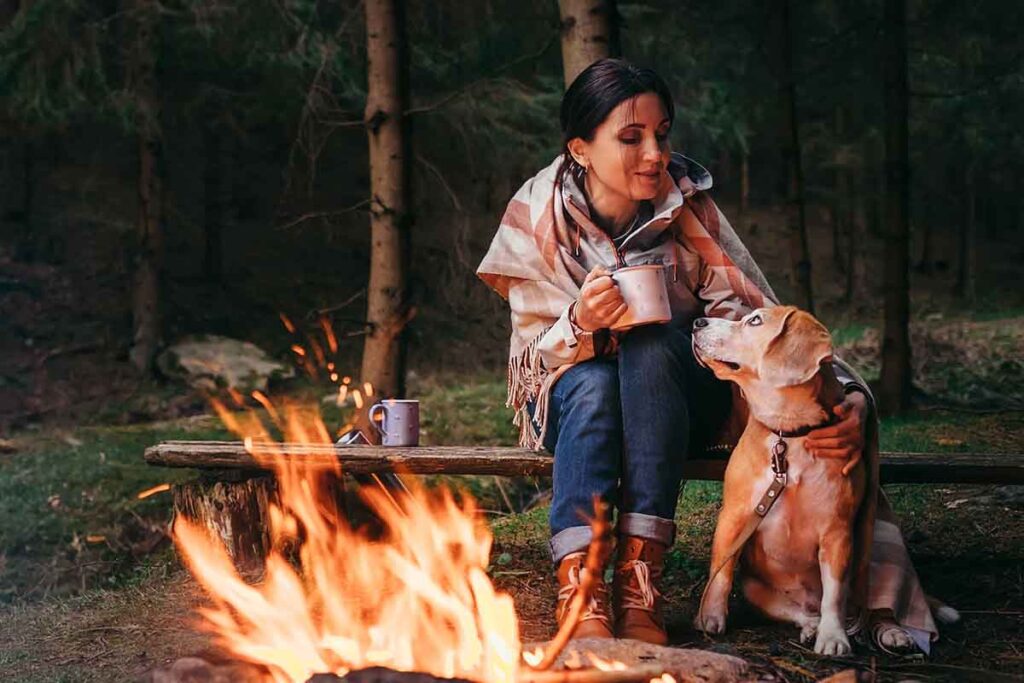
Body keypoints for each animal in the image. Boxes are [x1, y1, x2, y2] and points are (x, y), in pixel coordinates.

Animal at [688, 307, 864, 655]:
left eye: (755, 320)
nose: (697, 322)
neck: (788, 433)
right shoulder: (734, 515)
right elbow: (721, 572)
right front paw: (710, 617)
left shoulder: (837, 531)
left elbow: (834, 594)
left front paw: (833, 636)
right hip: (756, 590)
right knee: (797, 613)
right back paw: (809, 625)